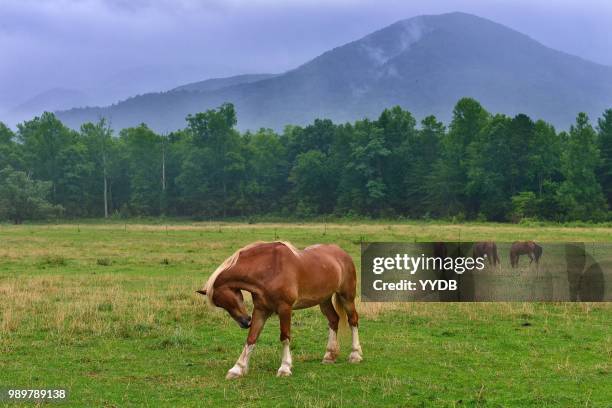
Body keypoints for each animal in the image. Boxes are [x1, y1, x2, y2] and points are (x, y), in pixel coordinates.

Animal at [196, 242, 360, 380]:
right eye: (220, 305)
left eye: (227, 299)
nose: (245, 322)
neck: (269, 269)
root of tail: (342, 253)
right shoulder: (261, 310)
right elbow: (251, 338)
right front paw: (237, 369)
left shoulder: (285, 308)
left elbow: (285, 337)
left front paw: (285, 368)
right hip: (324, 300)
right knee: (333, 320)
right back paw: (329, 356)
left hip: (347, 297)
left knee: (353, 320)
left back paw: (355, 355)